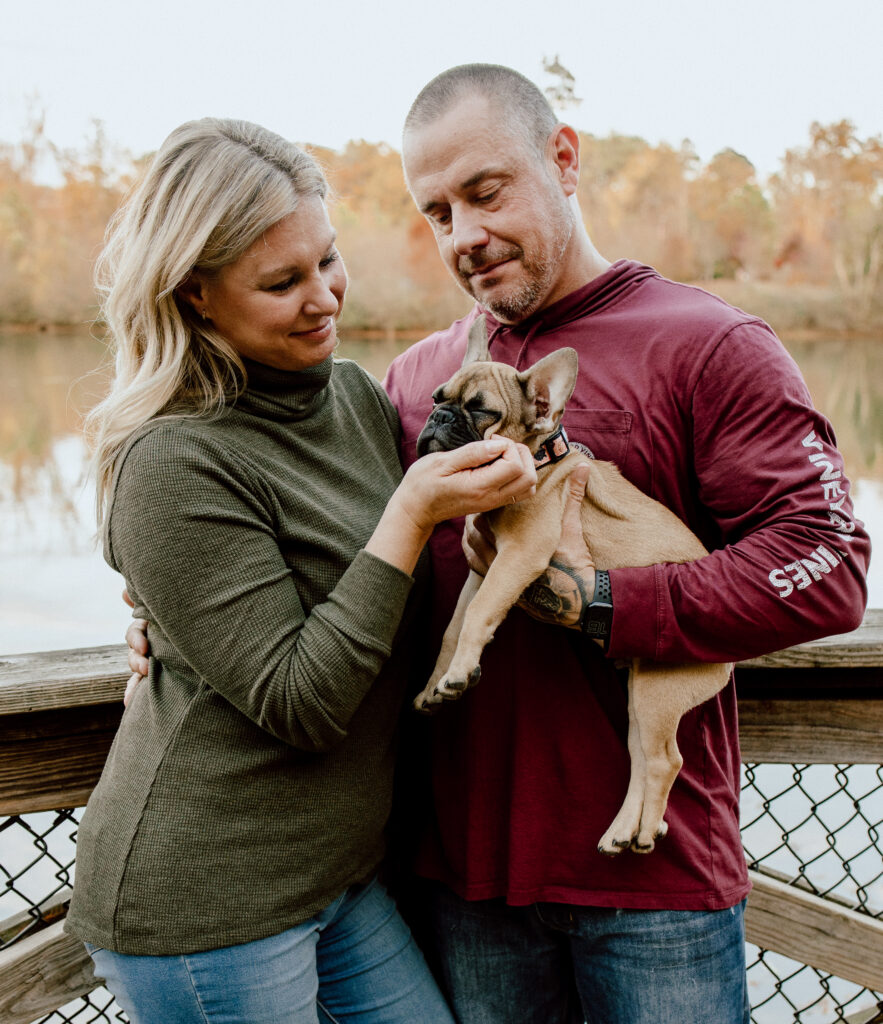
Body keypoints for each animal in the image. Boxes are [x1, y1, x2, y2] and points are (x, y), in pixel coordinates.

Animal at [413, 313, 733, 856]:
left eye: (482, 412)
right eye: (438, 397)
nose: (439, 418)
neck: (540, 460)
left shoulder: (520, 556)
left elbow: (477, 616)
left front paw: (457, 675)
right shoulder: (483, 569)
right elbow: (456, 628)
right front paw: (439, 682)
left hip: (659, 691)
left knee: (664, 761)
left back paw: (636, 831)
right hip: (642, 696)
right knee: (644, 757)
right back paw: (631, 829)